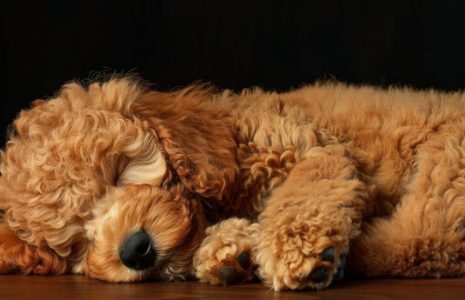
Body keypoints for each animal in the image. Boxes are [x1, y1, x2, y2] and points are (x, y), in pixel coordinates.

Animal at [0, 77, 464, 290]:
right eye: (77, 241)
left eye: (119, 172)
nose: (135, 249)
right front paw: (231, 249)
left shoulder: (310, 148)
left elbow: (306, 189)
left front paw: (293, 248)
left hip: (448, 162)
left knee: (426, 239)